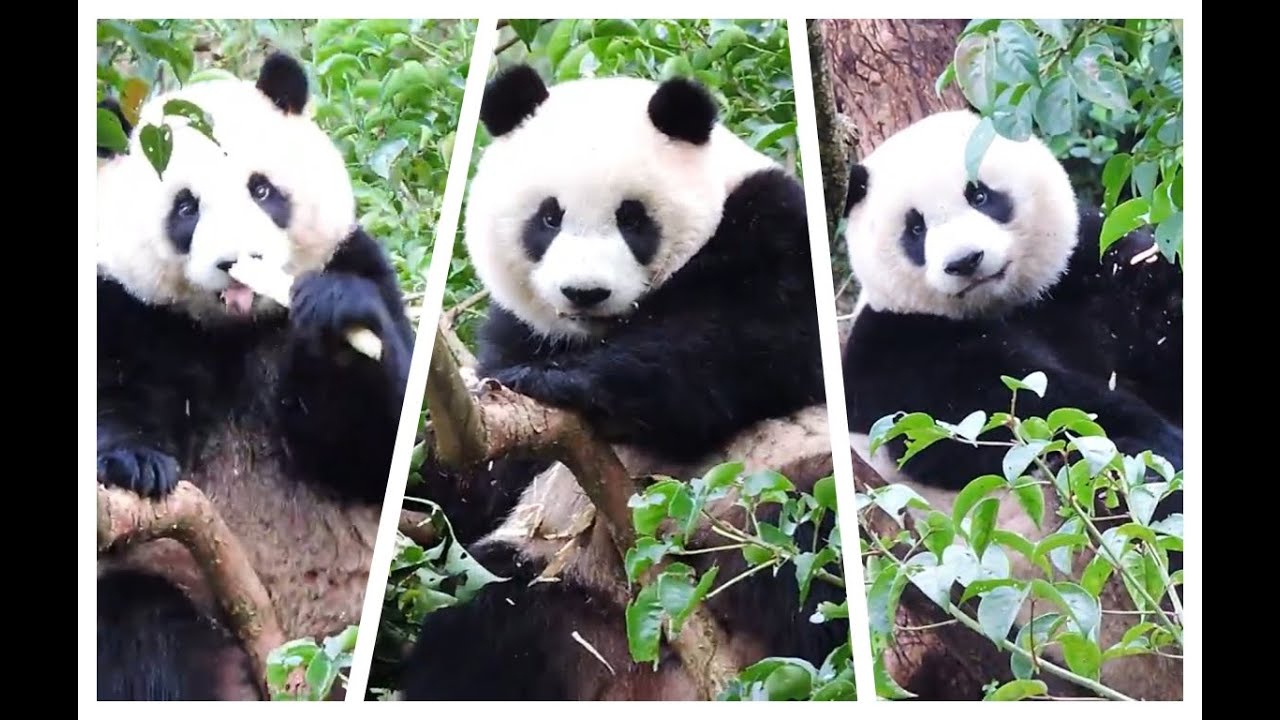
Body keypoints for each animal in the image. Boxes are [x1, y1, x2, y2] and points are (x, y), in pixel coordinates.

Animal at [95, 52, 414, 701]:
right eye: (185, 207)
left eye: (261, 189)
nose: (238, 261)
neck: (232, 330)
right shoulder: (124, 308)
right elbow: (109, 392)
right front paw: (136, 462)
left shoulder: (356, 261)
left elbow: (378, 446)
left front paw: (335, 325)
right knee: (136, 629)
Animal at [399, 65, 843, 700]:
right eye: (549, 217)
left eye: (632, 218)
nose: (584, 293)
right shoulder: (519, 329)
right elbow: (490, 481)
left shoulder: (773, 227)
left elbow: (750, 339)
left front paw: (561, 382)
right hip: (564, 595)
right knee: (482, 630)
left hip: (765, 497)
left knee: (814, 536)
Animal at [839, 109, 1184, 700]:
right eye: (915, 228)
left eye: (980, 194)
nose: (965, 261)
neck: (1007, 304)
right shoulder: (893, 345)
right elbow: (980, 414)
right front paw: (1160, 446)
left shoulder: (1087, 274)